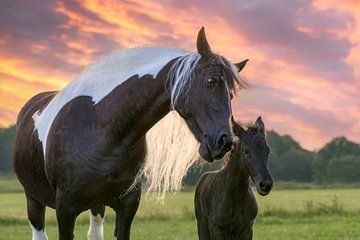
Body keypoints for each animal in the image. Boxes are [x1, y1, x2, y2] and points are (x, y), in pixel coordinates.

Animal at [11, 27, 248, 239]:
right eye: (211, 81)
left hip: (96, 205)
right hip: (33, 198)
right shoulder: (65, 210)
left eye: (232, 94)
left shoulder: (128, 205)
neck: (102, 127)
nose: (224, 142)